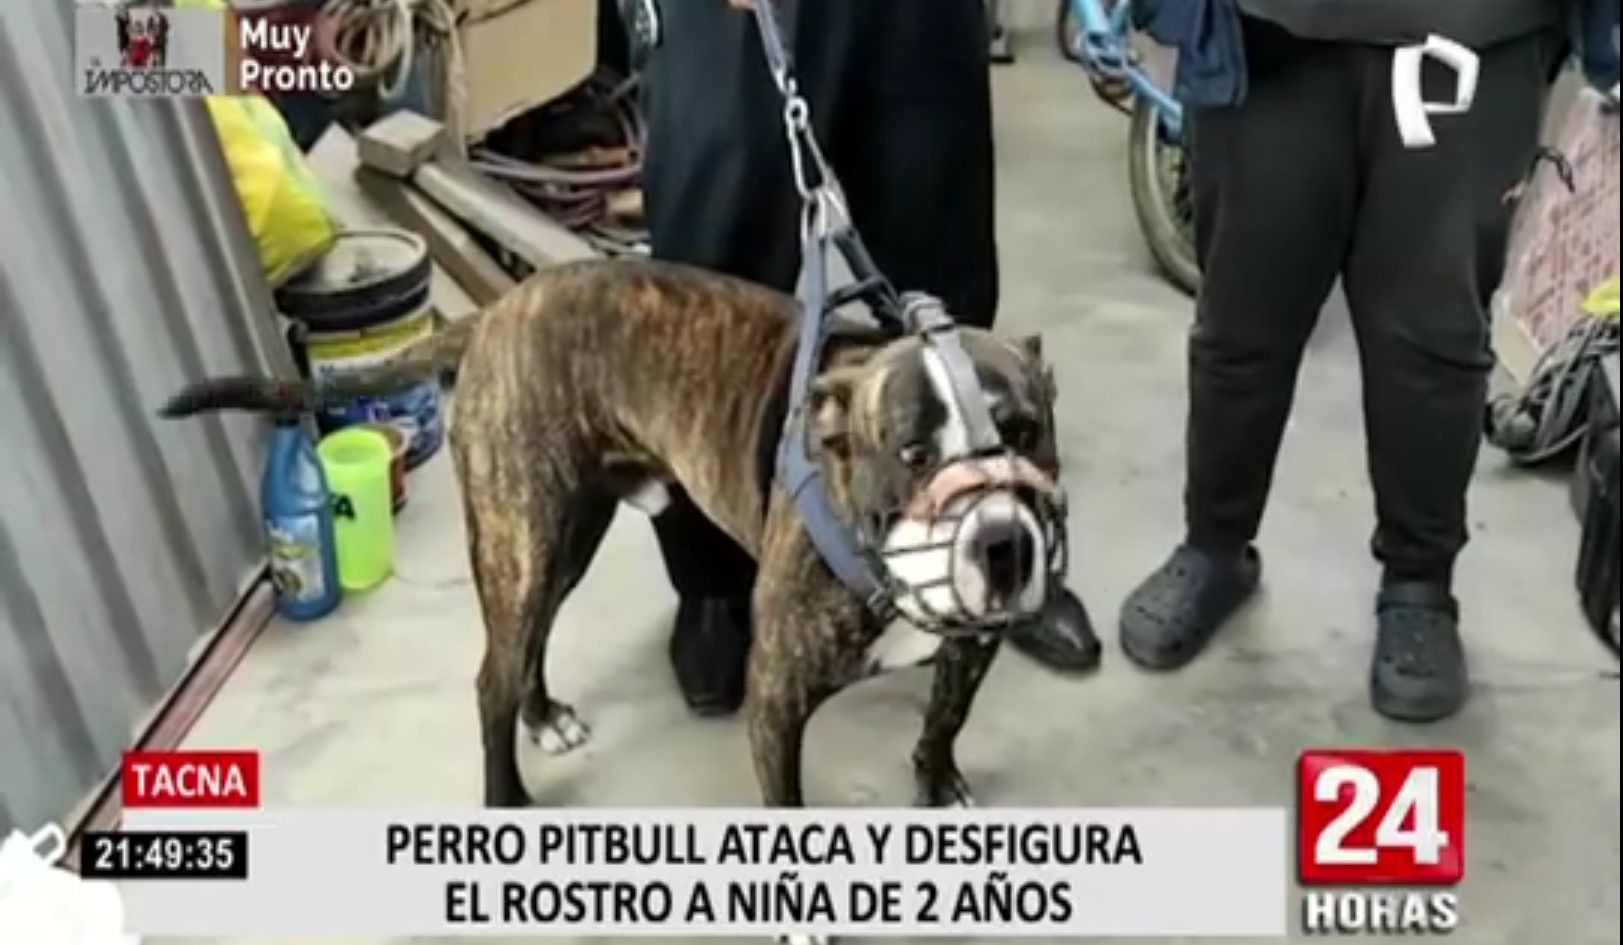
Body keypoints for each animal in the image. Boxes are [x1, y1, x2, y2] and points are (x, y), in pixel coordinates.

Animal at [160, 258, 1065, 818]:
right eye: (913, 453)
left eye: (1024, 432)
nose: (997, 540)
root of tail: (496, 310)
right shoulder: (776, 695)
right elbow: (789, 808)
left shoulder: (972, 646)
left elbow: (945, 716)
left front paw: (938, 783)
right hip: (522, 535)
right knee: (491, 674)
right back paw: (506, 798)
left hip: (560, 539)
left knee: (523, 643)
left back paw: (542, 713)